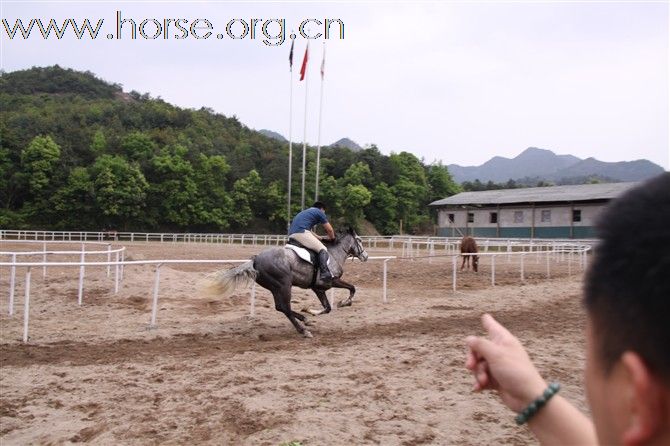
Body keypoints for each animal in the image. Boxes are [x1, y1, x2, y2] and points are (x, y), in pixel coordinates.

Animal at [207, 228, 370, 336]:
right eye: (360, 240)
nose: (366, 256)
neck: (334, 254)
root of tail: (255, 260)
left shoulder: (317, 288)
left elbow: (327, 307)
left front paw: (309, 311)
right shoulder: (331, 281)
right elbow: (352, 288)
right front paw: (344, 303)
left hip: (275, 287)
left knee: (280, 307)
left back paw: (304, 320)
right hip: (284, 285)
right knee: (285, 307)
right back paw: (303, 329)